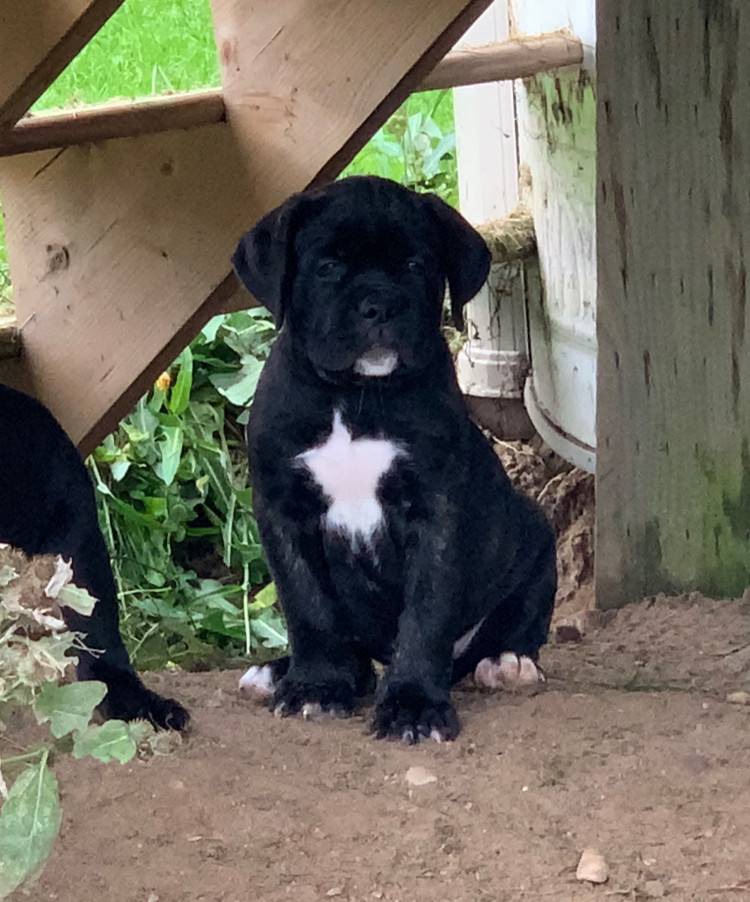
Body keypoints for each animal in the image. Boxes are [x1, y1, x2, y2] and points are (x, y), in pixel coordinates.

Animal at [235, 175, 560, 740]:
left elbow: (425, 614)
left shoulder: (436, 511)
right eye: (327, 266)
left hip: (536, 538)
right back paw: (279, 672)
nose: (379, 305)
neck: (354, 397)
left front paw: (413, 704)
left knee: (512, 623)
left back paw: (508, 663)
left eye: (414, 264)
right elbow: (308, 606)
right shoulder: (284, 512)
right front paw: (317, 685)